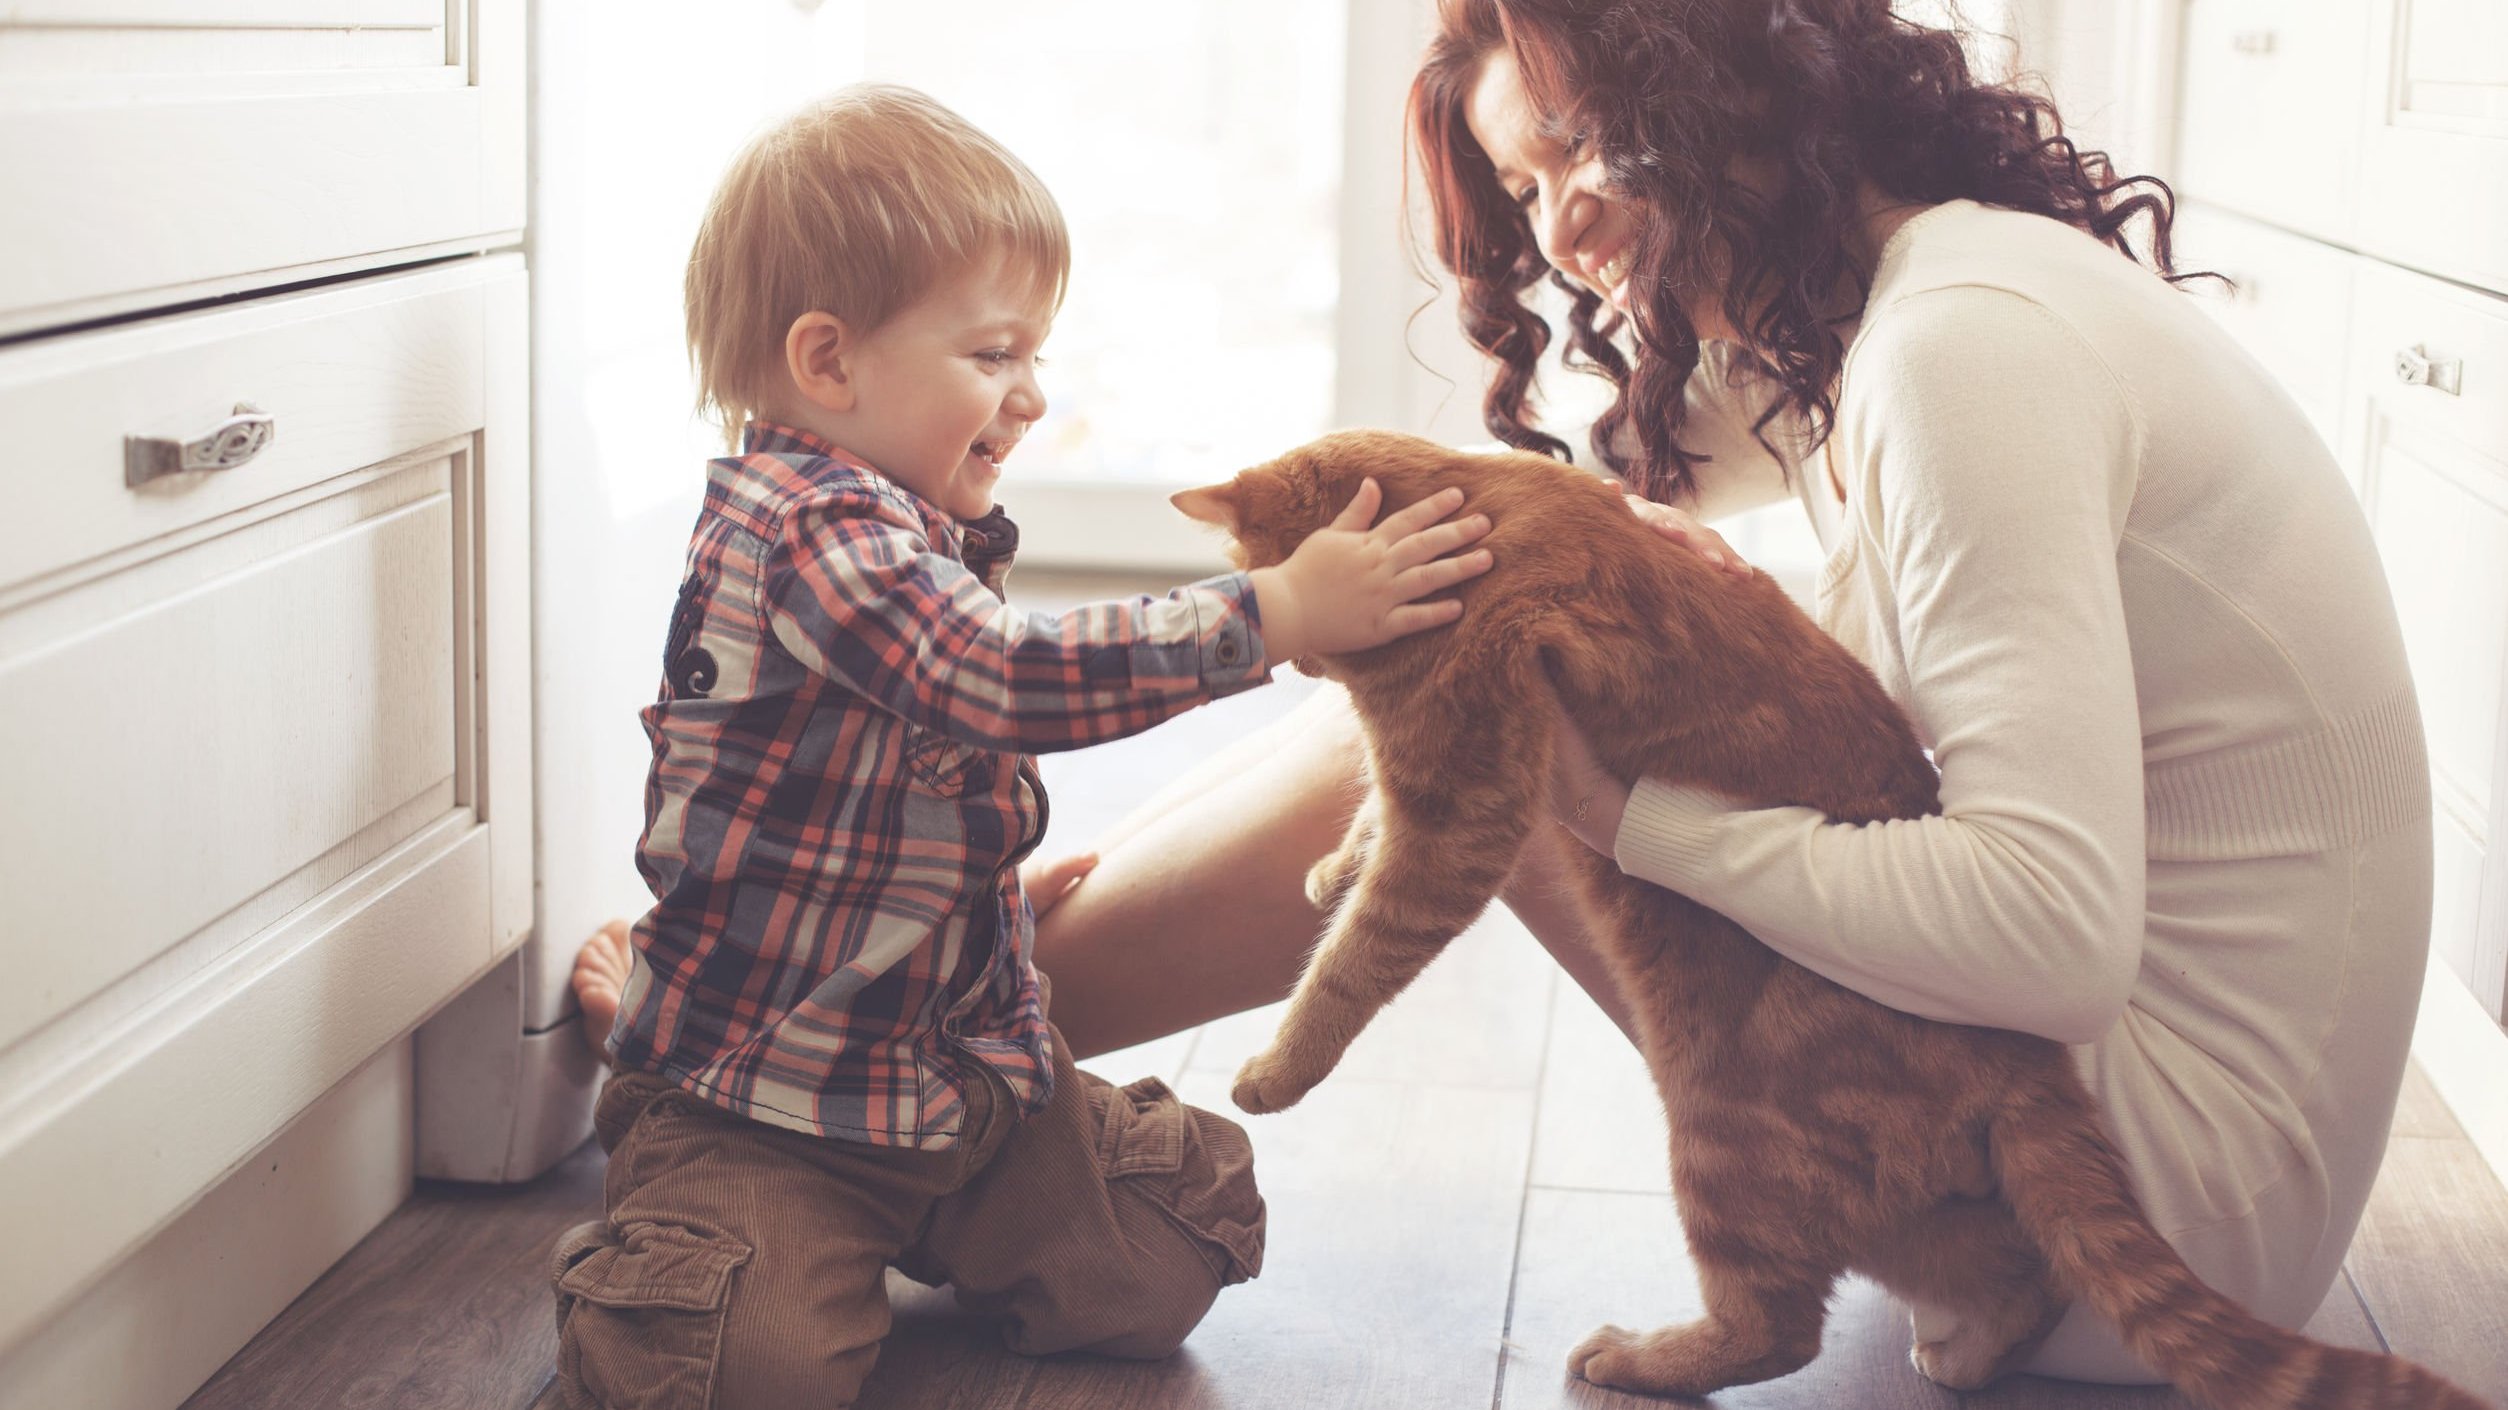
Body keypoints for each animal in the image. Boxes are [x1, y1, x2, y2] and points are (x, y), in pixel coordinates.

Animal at [1173, 429, 2487, 1404]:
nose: (1289, 665)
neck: (1469, 509)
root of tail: (2028, 1059)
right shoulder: (1433, 788)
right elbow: (1360, 842)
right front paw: (1328, 870)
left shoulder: (1465, 808)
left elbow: (1354, 962)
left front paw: (1274, 1071)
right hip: (1903, 1195)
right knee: (2012, 1271)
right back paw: (1969, 1350)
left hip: (1720, 1132)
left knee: (1778, 1328)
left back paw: (1636, 1360)